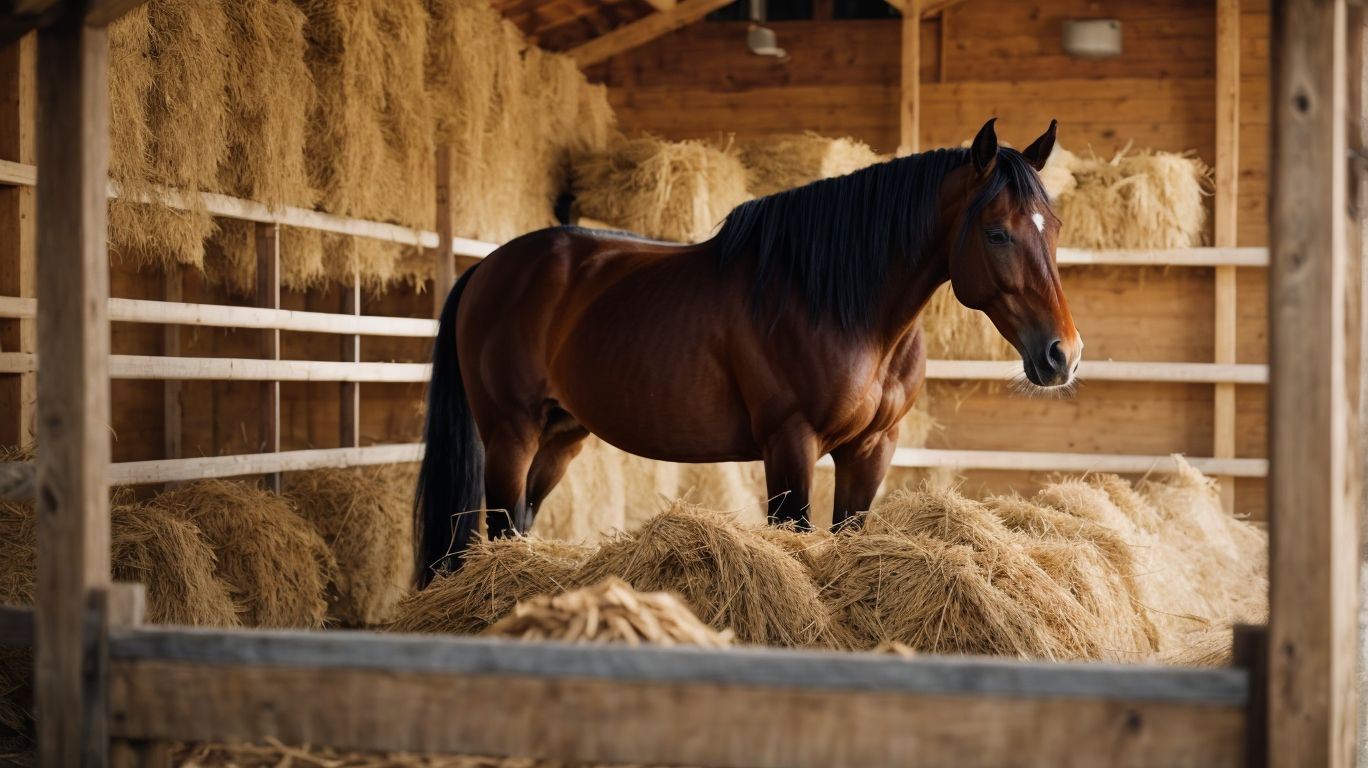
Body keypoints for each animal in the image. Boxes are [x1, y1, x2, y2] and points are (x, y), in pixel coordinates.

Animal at [413, 118, 1082, 587]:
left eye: (1053, 228)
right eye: (996, 232)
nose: (1063, 355)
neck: (837, 302)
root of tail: (489, 269)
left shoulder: (872, 449)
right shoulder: (790, 444)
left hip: (559, 436)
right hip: (511, 433)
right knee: (499, 527)